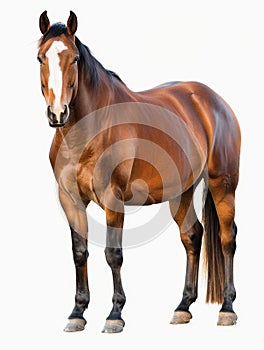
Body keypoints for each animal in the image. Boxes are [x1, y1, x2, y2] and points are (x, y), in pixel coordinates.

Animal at [37, 10, 241, 332]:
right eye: (40, 58)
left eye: (74, 58)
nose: (58, 114)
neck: (89, 129)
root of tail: (213, 101)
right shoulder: (70, 200)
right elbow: (79, 252)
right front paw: (77, 312)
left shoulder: (113, 198)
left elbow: (113, 254)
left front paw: (115, 314)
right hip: (181, 192)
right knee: (193, 235)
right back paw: (183, 307)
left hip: (224, 185)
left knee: (226, 238)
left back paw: (227, 308)